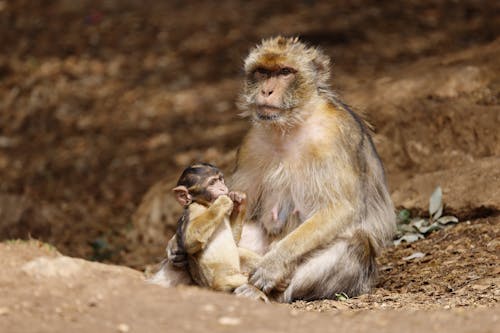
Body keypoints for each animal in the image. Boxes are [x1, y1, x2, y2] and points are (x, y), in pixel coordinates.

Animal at [148, 163, 268, 300]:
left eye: (220, 179)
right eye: (212, 183)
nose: (222, 188)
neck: (206, 205)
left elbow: (234, 239)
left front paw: (239, 200)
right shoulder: (195, 209)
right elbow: (190, 240)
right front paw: (223, 201)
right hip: (224, 281)